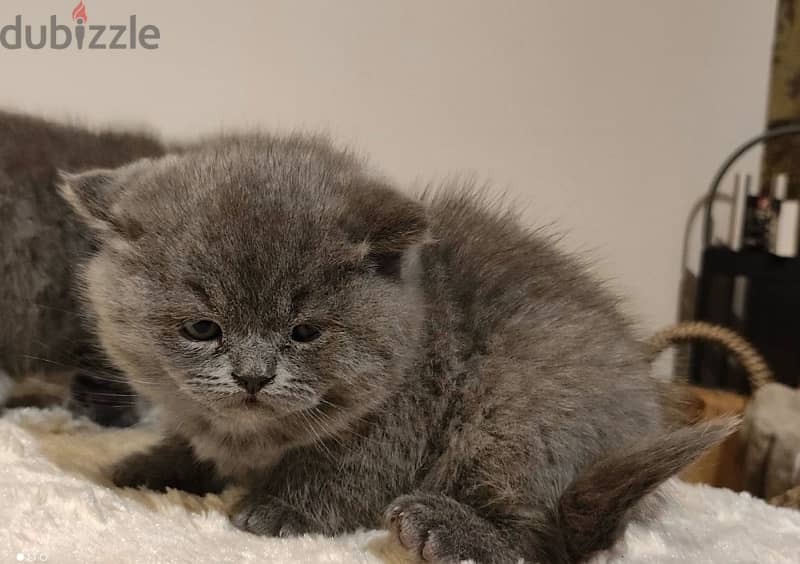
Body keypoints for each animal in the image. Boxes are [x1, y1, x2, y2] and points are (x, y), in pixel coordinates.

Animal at [62, 137, 732, 564]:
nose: (253, 377)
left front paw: (274, 510)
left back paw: (444, 529)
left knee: (546, 538)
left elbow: (342, 474)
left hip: (522, 406)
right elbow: (194, 442)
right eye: (202, 328)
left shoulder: (402, 417)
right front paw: (150, 463)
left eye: (305, 332)